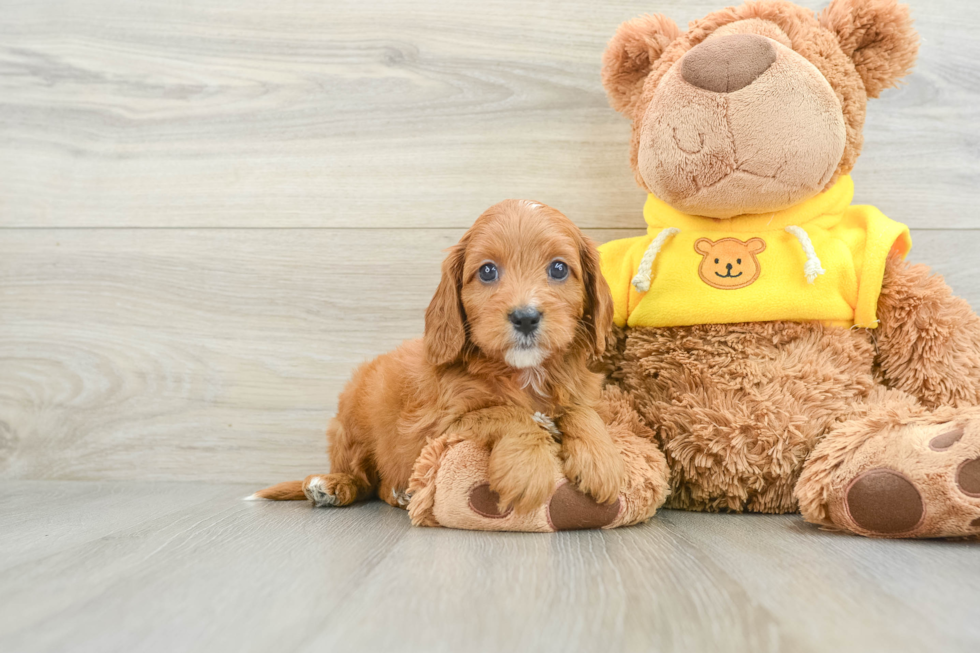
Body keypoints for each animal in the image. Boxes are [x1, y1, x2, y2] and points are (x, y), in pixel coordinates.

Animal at [253, 200, 620, 516]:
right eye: (487, 271)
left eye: (558, 268)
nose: (525, 317)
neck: (526, 373)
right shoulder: (439, 426)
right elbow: (508, 412)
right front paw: (528, 469)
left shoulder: (584, 392)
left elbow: (581, 410)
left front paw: (600, 459)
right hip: (351, 422)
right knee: (364, 479)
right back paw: (332, 485)